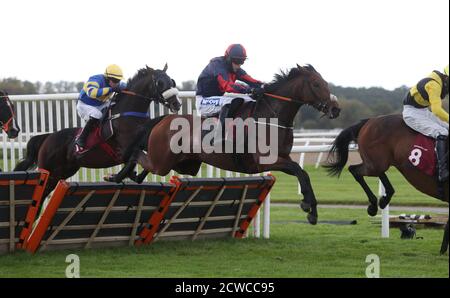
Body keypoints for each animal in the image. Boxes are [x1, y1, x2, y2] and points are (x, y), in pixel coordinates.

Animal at [14, 66, 182, 200]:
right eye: (159, 83)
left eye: (172, 81)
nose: (176, 104)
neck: (129, 116)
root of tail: (48, 137)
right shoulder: (123, 150)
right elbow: (132, 160)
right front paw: (115, 176)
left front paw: (133, 175)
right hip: (49, 172)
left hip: (63, 171)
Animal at [110, 64, 340, 224]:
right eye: (316, 84)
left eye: (324, 82)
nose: (335, 109)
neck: (270, 117)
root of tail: (164, 119)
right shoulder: (266, 161)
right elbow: (300, 171)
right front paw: (308, 206)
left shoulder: (282, 158)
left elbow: (303, 173)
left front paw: (311, 209)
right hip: (164, 162)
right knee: (138, 156)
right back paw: (119, 174)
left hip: (184, 164)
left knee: (145, 163)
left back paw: (127, 176)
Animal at [326, 114, 448, 254]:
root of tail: (370, 120)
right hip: (374, 163)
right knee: (354, 170)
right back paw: (374, 205)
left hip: (378, 162)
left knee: (377, 174)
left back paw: (383, 199)